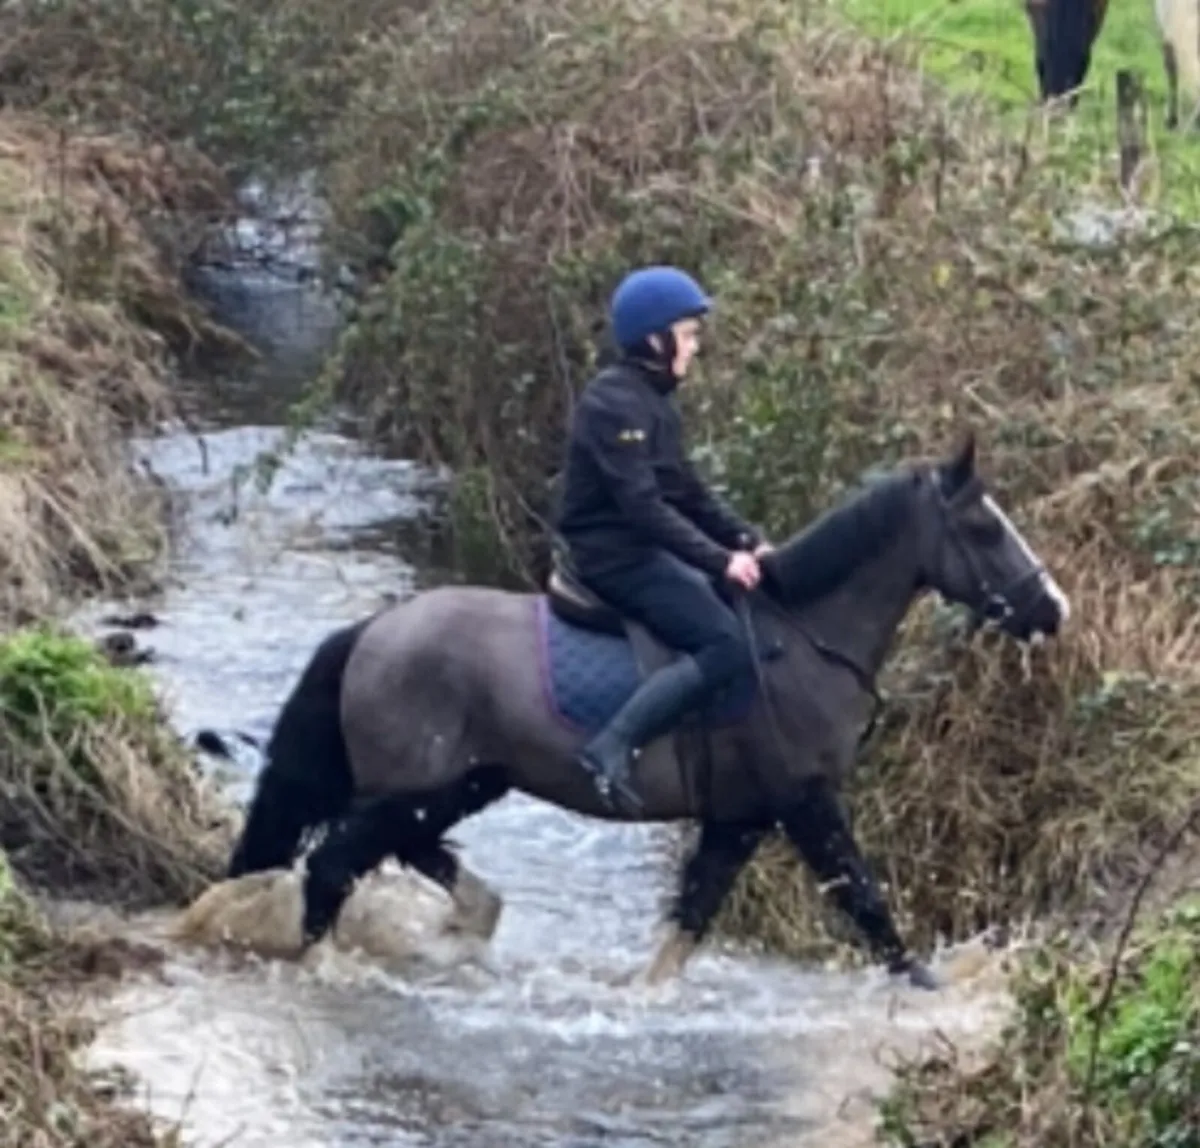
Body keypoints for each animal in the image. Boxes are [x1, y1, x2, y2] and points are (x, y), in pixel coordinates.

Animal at [223, 432, 1068, 990]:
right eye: (984, 527)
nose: (1051, 608)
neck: (804, 639)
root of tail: (371, 631)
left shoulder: (741, 817)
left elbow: (688, 923)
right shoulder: (804, 802)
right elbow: (863, 900)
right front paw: (931, 986)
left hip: (459, 783)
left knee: (403, 849)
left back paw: (467, 922)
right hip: (416, 785)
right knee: (334, 864)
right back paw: (324, 965)